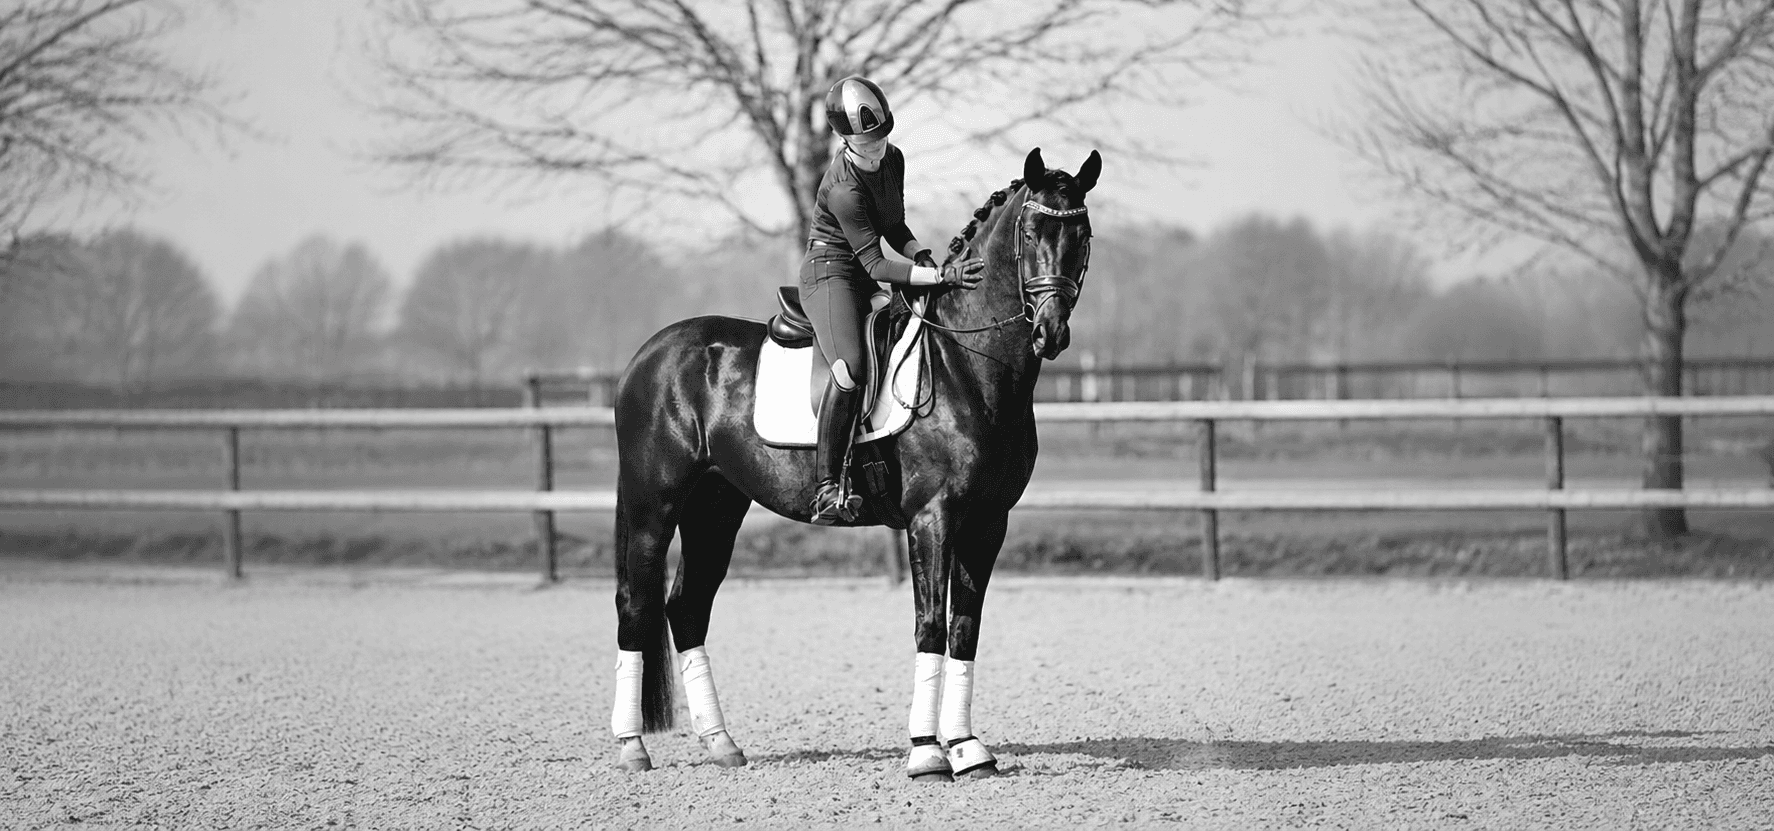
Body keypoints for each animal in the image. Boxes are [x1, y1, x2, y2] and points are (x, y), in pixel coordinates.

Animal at [607, 146, 1100, 780]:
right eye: (1032, 232)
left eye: (1082, 235)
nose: (1050, 331)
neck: (966, 363)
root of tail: (650, 353)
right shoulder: (932, 520)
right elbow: (929, 626)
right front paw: (926, 753)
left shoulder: (989, 522)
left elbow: (964, 629)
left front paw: (968, 749)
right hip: (655, 503)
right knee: (636, 605)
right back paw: (632, 746)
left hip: (716, 506)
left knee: (687, 608)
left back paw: (722, 744)